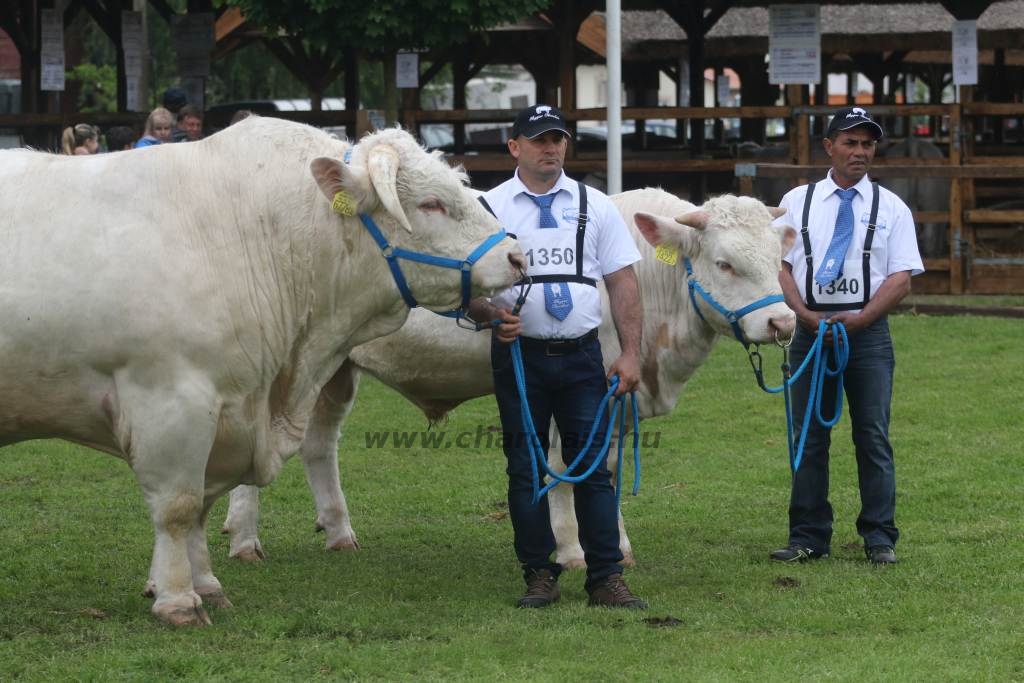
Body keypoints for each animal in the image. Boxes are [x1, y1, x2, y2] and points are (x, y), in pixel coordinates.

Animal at [0, 117, 524, 626]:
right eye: (431, 203)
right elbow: (178, 507)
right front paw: (177, 600)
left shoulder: (228, 408)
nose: (516, 256)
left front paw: (207, 587)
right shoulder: (169, 397)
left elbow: (201, 506)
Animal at [226, 188, 798, 565]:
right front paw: (571, 549)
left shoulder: (618, 393)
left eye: (778, 257)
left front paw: (614, 545)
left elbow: (606, 466)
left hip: (336, 370)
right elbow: (565, 467)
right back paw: (244, 541)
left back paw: (338, 532)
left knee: (319, 444)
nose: (783, 322)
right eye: (724, 263)